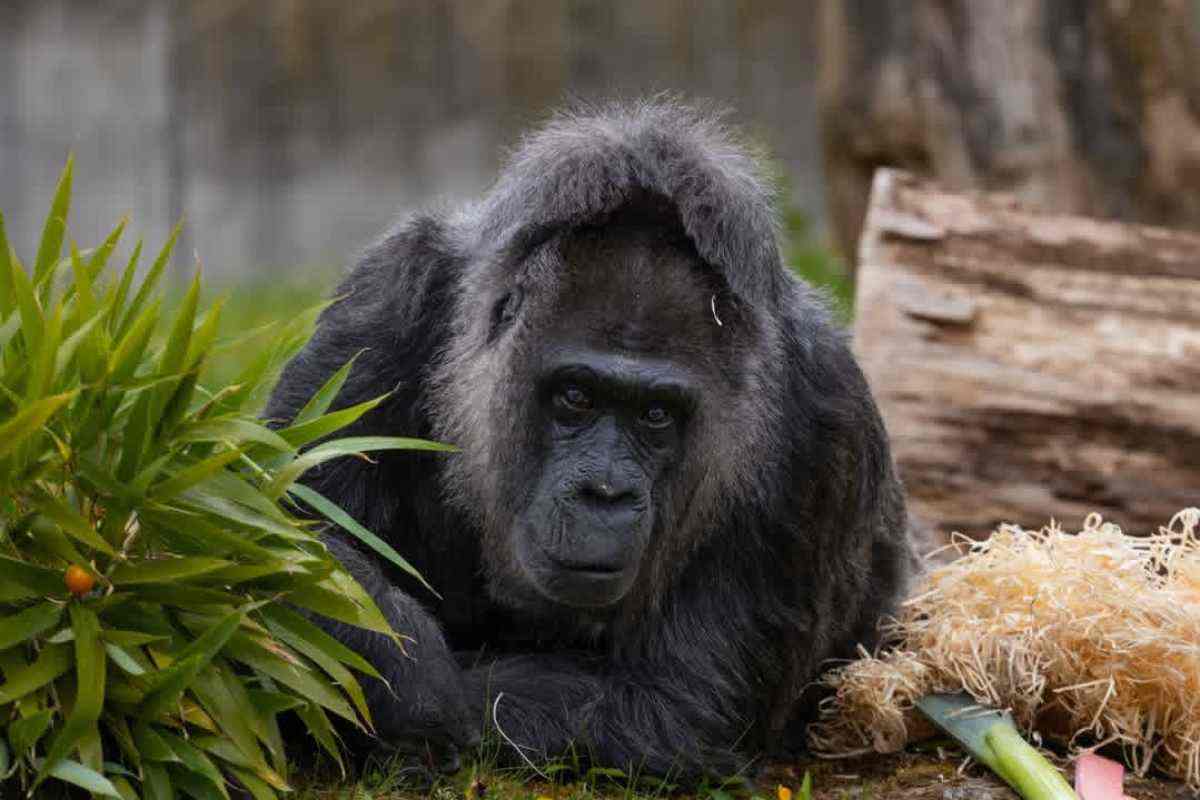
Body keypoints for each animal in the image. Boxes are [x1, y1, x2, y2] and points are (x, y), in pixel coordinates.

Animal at [266, 100, 914, 779]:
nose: (604, 493)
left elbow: (671, 702)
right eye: (576, 397)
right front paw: (394, 654)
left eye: (655, 415)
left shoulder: (825, 428)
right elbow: (288, 519)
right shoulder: (386, 298)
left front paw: (417, 681)